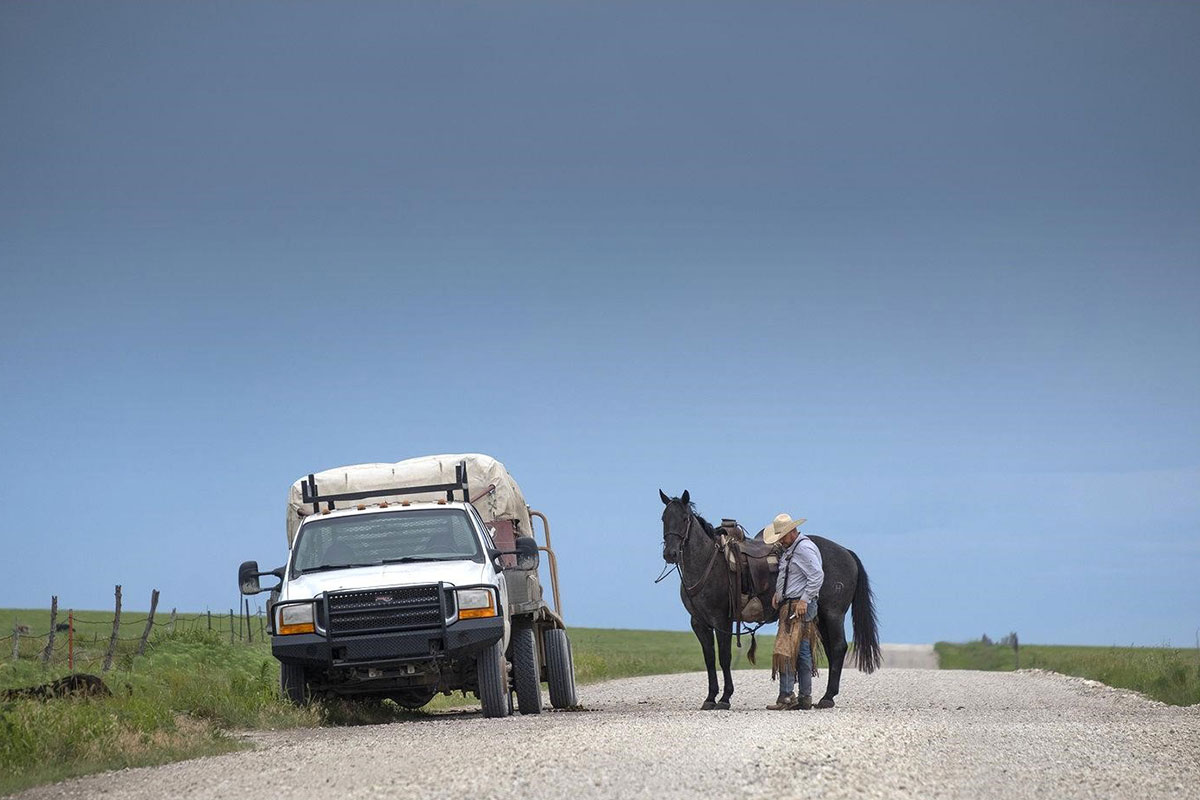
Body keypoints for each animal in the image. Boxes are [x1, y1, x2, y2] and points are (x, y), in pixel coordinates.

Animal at [662, 491, 878, 710]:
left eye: (685, 519)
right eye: (664, 519)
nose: (670, 553)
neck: (709, 563)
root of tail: (846, 552)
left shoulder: (722, 621)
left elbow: (724, 658)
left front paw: (724, 698)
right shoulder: (699, 623)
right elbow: (709, 659)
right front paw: (710, 698)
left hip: (833, 614)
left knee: (838, 647)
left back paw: (828, 697)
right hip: (822, 618)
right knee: (830, 649)